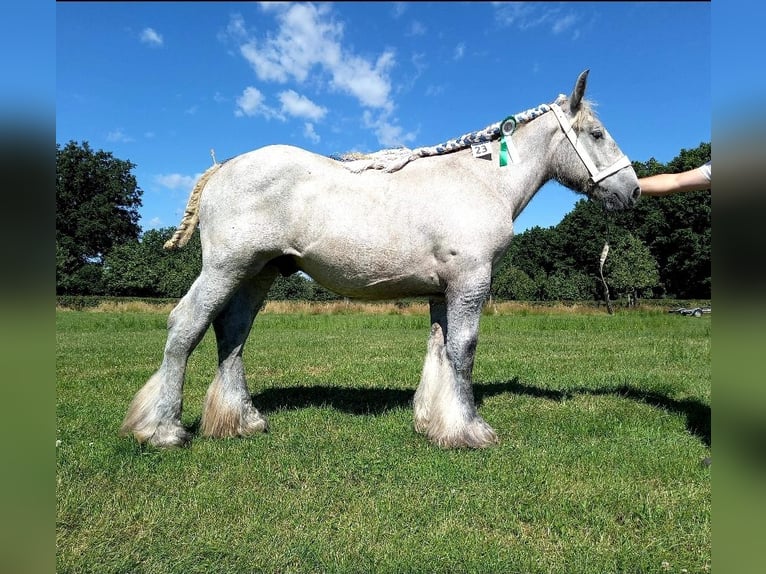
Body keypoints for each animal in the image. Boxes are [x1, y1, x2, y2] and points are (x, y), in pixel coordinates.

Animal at [121, 71, 640, 450]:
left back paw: (242, 421)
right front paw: (471, 430)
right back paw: (163, 430)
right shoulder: (471, 281)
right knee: (186, 325)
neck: (480, 181)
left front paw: (435, 423)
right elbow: (464, 351)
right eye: (597, 134)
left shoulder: (442, 291)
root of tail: (222, 166)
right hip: (226, 268)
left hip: (257, 274)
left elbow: (440, 350)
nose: (632, 190)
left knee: (232, 333)